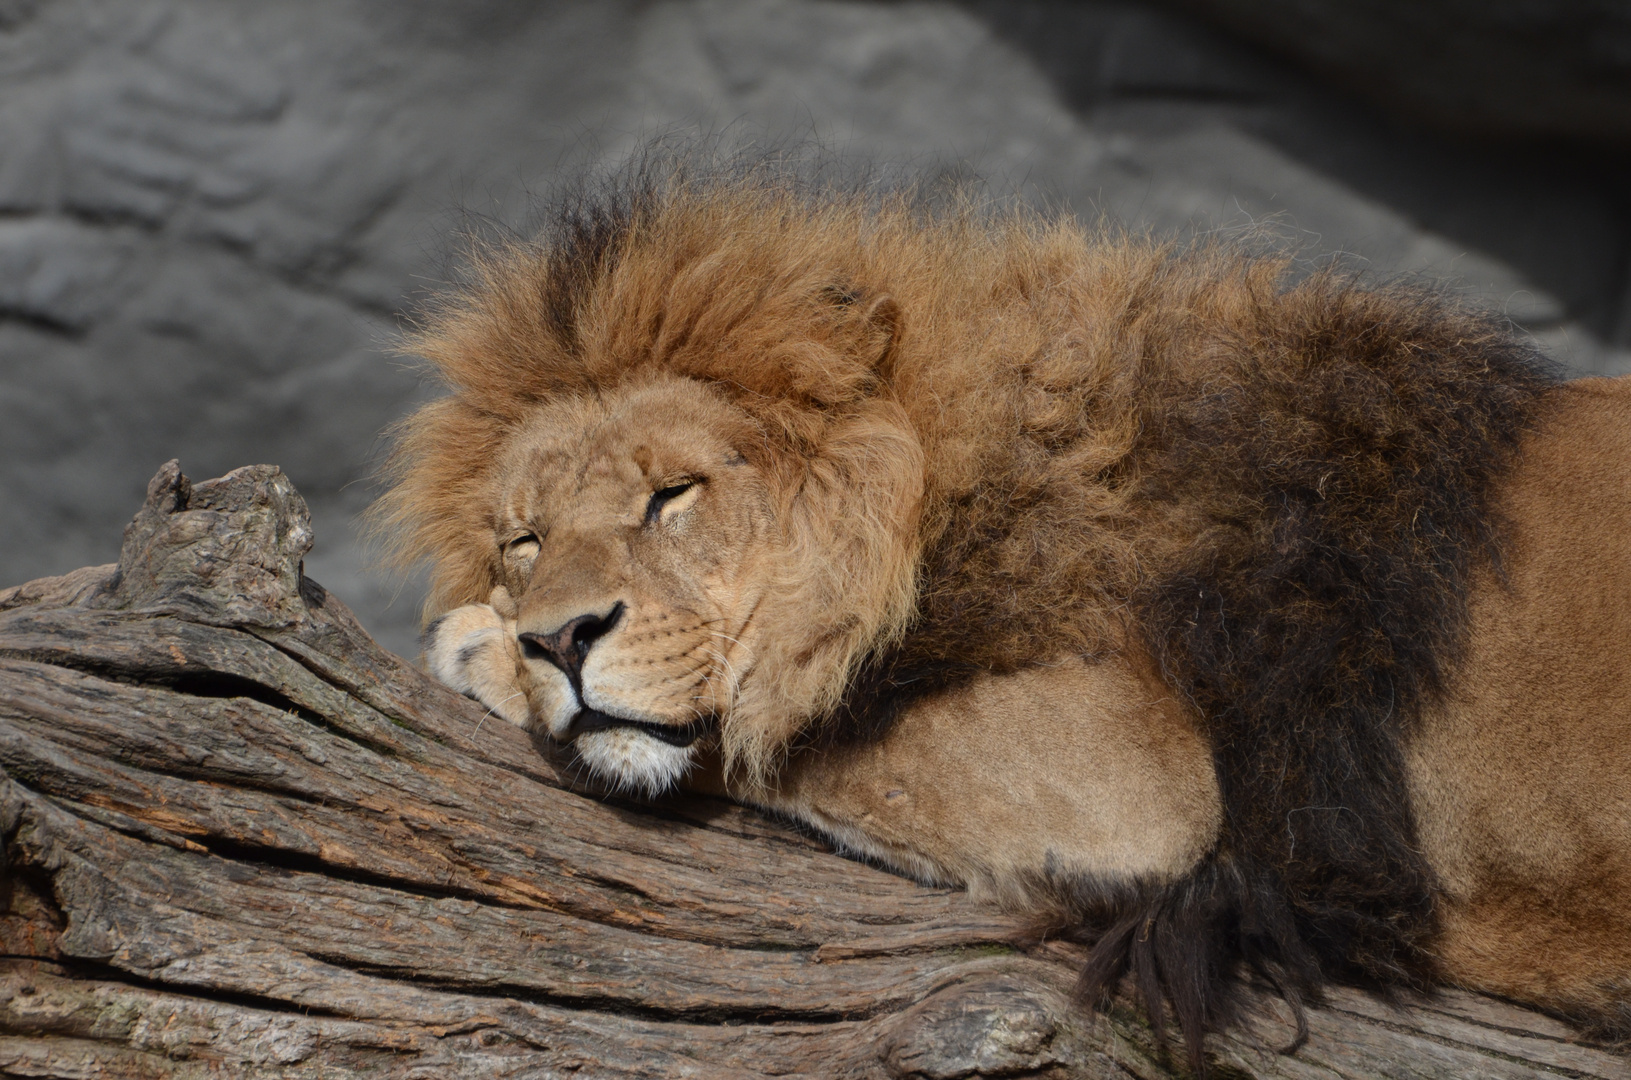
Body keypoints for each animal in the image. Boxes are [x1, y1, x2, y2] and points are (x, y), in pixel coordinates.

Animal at [373, 169, 1631, 1076]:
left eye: (669, 496)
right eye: (522, 540)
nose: (554, 638)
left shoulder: (1140, 778)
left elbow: (789, 732)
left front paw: (477, 649)